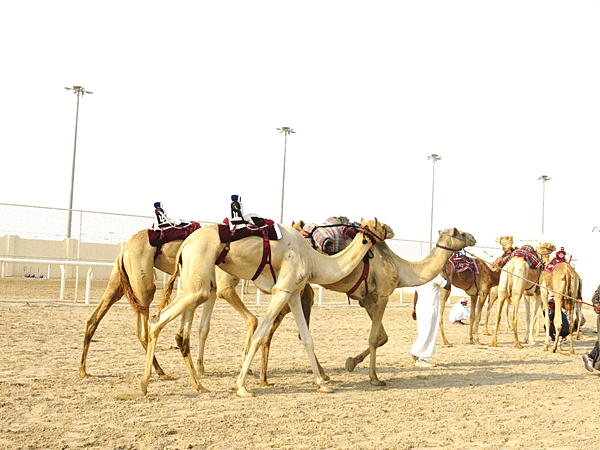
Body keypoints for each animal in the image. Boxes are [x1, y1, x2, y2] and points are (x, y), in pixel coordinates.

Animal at [142, 218, 392, 398]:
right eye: (380, 225)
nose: (391, 229)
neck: (312, 259)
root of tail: (185, 244)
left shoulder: (293, 292)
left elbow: (307, 338)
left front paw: (323, 384)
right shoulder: (281, 290)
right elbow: (259, 335)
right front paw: (242, 387)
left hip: (193, 281)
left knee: (177, 331)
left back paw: (194, 386)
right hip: (199, 279)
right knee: (157, 320)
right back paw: (146, 384)